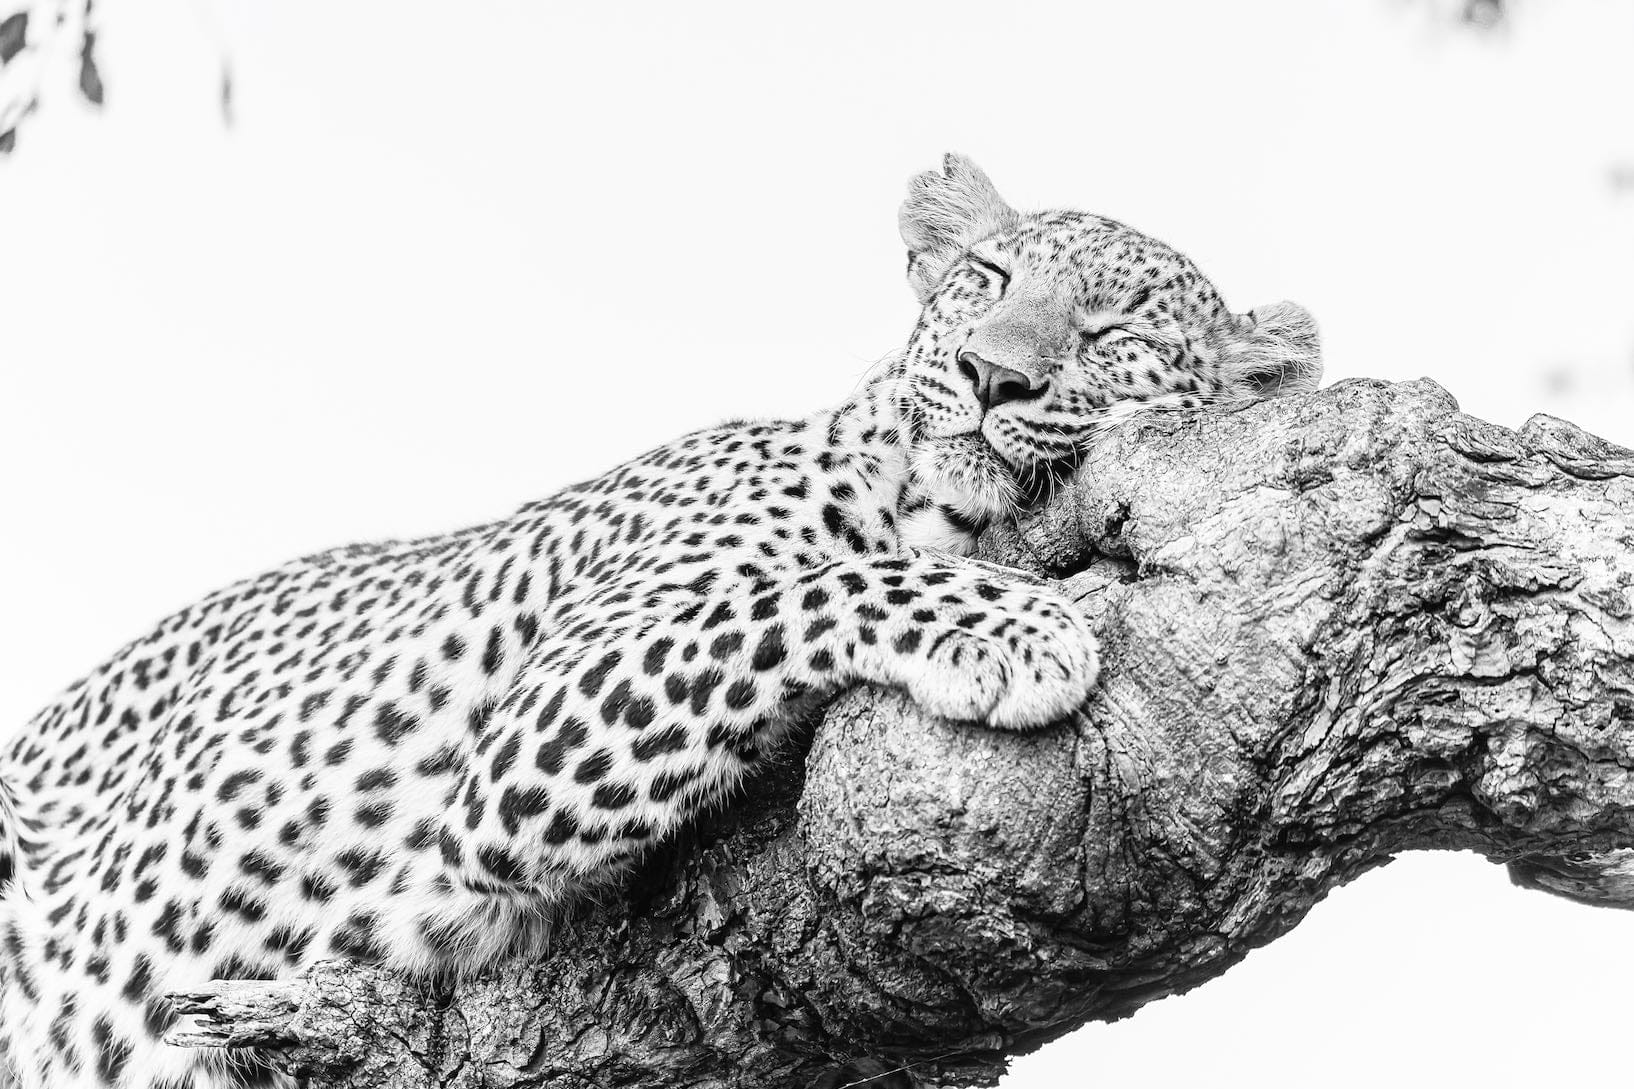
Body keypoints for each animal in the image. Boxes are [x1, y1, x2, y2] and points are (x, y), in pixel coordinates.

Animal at [0, 153, 1320, 1089]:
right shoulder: (526, 737)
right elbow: (800, 592)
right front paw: (1015, 626)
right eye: (988, 282)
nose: (995, 377)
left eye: (1114, 334)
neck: (918, 492)